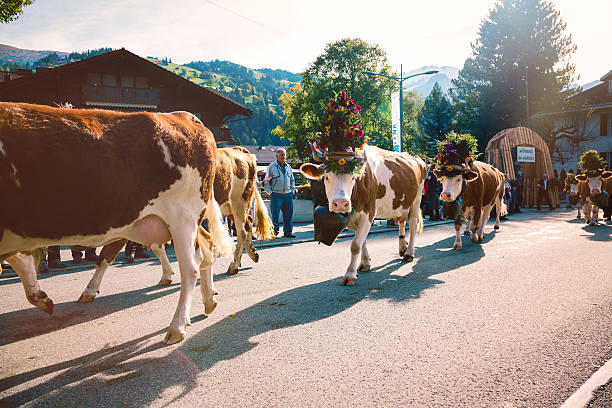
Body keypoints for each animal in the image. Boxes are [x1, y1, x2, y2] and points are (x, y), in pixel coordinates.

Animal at [0, 102, 233, 344]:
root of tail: (184, 116)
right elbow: (22, 260)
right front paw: (41, 297)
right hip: (155, 222)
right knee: (205, 246)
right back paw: (208, 300)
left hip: (182, 218)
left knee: (190, 267)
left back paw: (177, 326)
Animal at [76, 145, 274, 302]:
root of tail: (239, 150)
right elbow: (157, 247)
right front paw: (166, 274)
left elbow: (106, 255)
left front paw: (89, 290)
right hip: (228, 207)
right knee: (248, 224)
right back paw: (250, 254)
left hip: (239, 202)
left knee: (242, 231)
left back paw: (233, 265)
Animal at [300, 91, 426, 286]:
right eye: (326, 177)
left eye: (353, 177)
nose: (340, 204)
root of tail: (415, 158)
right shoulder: (353, 214)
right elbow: (363, 241)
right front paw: (365, 263)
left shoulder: (368, 211)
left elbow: (355, 245)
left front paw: (350, 274)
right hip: (400, 201)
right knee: (401, 221)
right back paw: (402, 247)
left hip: (416, 199)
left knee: (412, 224)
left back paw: (409, 253)